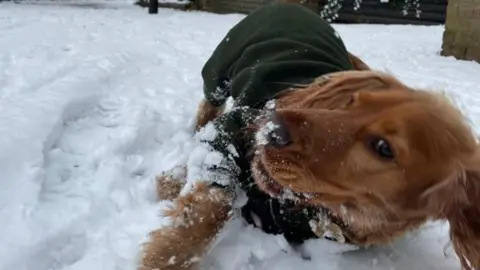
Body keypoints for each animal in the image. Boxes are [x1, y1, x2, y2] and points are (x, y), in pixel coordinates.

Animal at [137, 2, 480, 270]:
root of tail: (293, 5)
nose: (271, 127)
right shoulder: (232, 129)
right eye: (352, 101)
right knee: (207, 109)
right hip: (220, 70)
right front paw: (165, 255)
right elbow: (211, 204)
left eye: (383, 147)